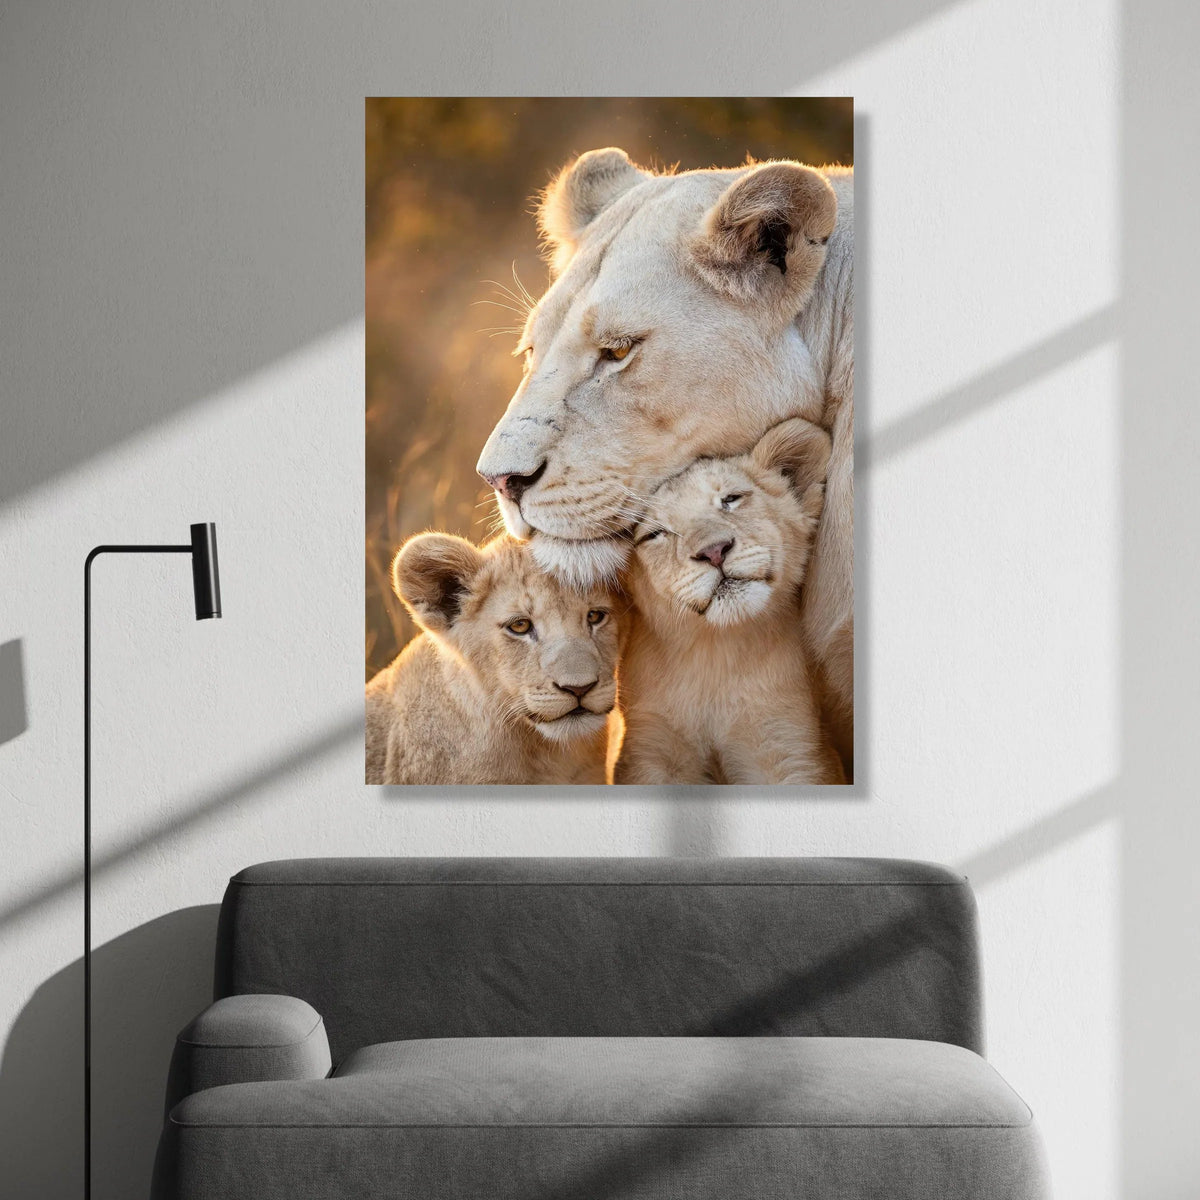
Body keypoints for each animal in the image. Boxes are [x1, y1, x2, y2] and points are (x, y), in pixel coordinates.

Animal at [613, 418, 844, 786]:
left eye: (731, 499)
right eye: (655, 534)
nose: (714, 551)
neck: (716, 654)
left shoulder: (788, 741)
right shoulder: (650, 746)